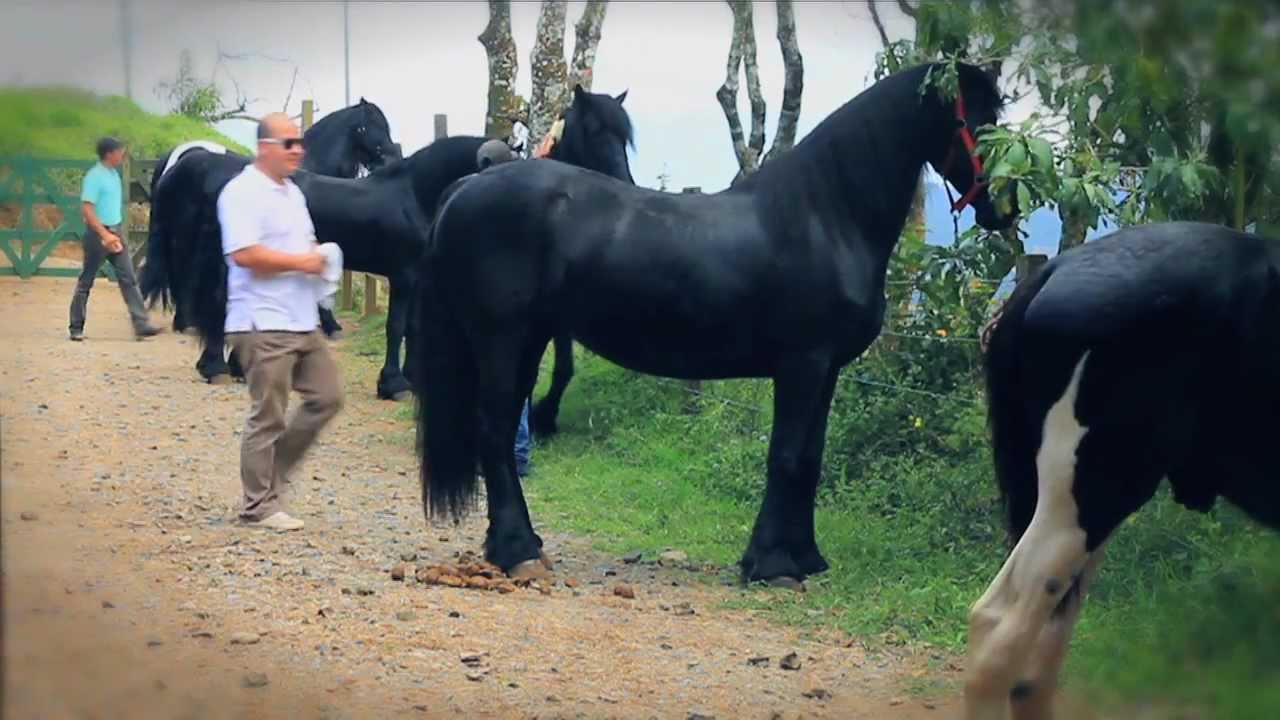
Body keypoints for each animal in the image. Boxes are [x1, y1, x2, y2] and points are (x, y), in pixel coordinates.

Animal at [409, 60, 1018, 583]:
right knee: (493, 431)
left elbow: (811, 458)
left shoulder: (827, 370)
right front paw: (772, 564)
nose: (1006, 207)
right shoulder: (802, 364)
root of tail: (466, 188)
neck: (823, 216)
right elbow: (786, 456)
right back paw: (518, 551)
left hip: (525, 338)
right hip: (503, 339)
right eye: (970, 119)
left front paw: (806, 556)